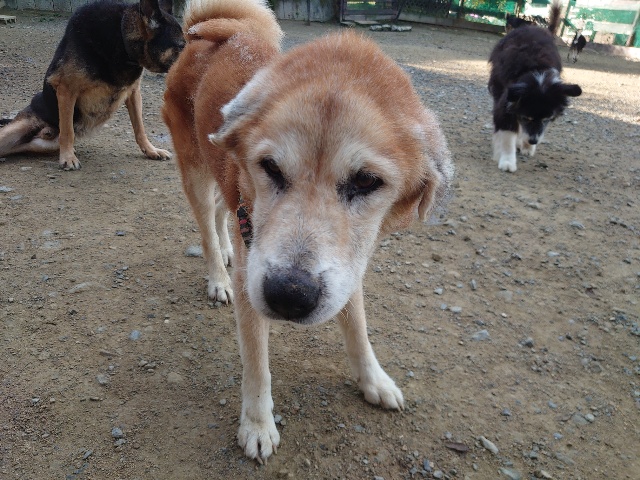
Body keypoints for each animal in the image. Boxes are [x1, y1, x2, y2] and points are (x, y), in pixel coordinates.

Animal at [0, 0, 184, 170]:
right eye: (181, 46)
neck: (121, 37)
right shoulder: (66, 90)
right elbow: (67, 131)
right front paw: (68, 157)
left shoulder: (134, 93)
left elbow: (139, 127)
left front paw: (151, 150)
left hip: (42, 146)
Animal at [163, 0, 453, 463]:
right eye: (271, 167)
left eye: (366, 181)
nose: (288, 295)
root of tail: (216, 31)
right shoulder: (253, 284)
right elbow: (257, 367)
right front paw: (257, 425)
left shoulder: (347, 269)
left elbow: (358, 331)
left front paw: (374, 381)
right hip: (195, 172)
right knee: (207, 225)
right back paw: (217, 276)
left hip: (227, 181)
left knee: (225, 214)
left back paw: (228, 251)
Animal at [489, 0, 582, 172]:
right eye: (527, 118)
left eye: (547, 119)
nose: (533, 141)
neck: (537, 74)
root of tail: (531, 26)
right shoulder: (506, 103)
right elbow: (507, 134)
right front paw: (507, 160)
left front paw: (527, 146)